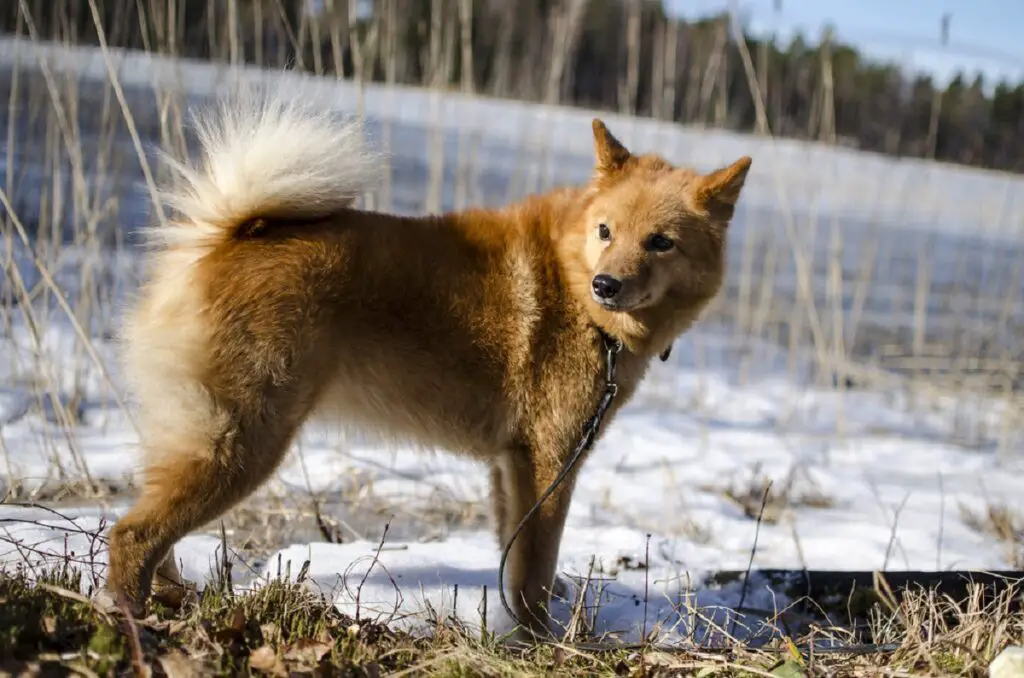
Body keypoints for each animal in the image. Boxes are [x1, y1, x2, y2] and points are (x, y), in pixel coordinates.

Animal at [108, 87, 753, 639]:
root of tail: (229, 235)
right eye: (605, 230)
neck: (571, 286)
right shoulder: (549, 463)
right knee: (133, 535)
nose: (607, 285)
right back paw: (137, 625)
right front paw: (541, 641)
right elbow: (535, 570)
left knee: (154, 535)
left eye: (660, 241)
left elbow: (515, 560)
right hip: (242, 442)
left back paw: (176, 602)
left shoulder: (511, 466)